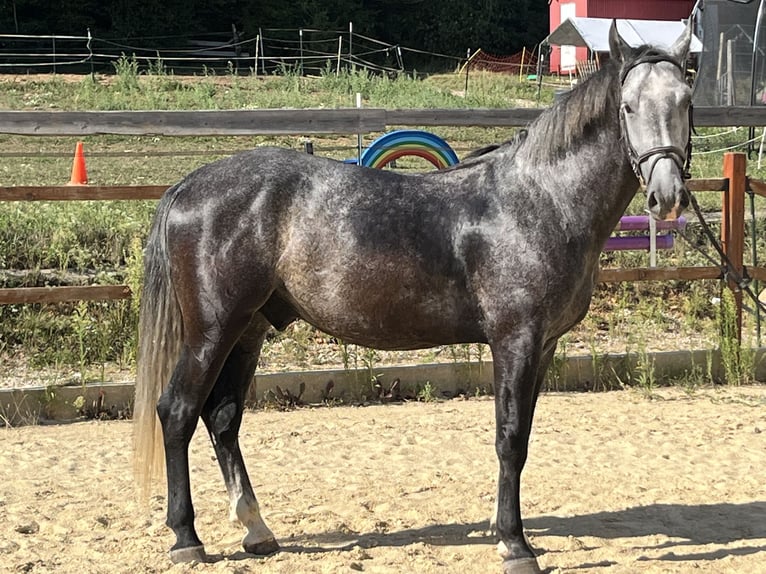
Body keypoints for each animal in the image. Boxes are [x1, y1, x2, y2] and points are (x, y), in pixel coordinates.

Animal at [132, 21, 693, 574]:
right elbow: (510, 438)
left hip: (248, 330)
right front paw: (515, 545)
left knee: (223, 418)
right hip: (211, 331)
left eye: (686, 101)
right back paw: (186, 538)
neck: (540, 199)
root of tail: (186, 186)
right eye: (627, 106)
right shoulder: (515, 341)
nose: (667, 196)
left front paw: (501, 528)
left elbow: (522, 438)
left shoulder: (545, 345)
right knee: (178, 411)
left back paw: (256, 529)